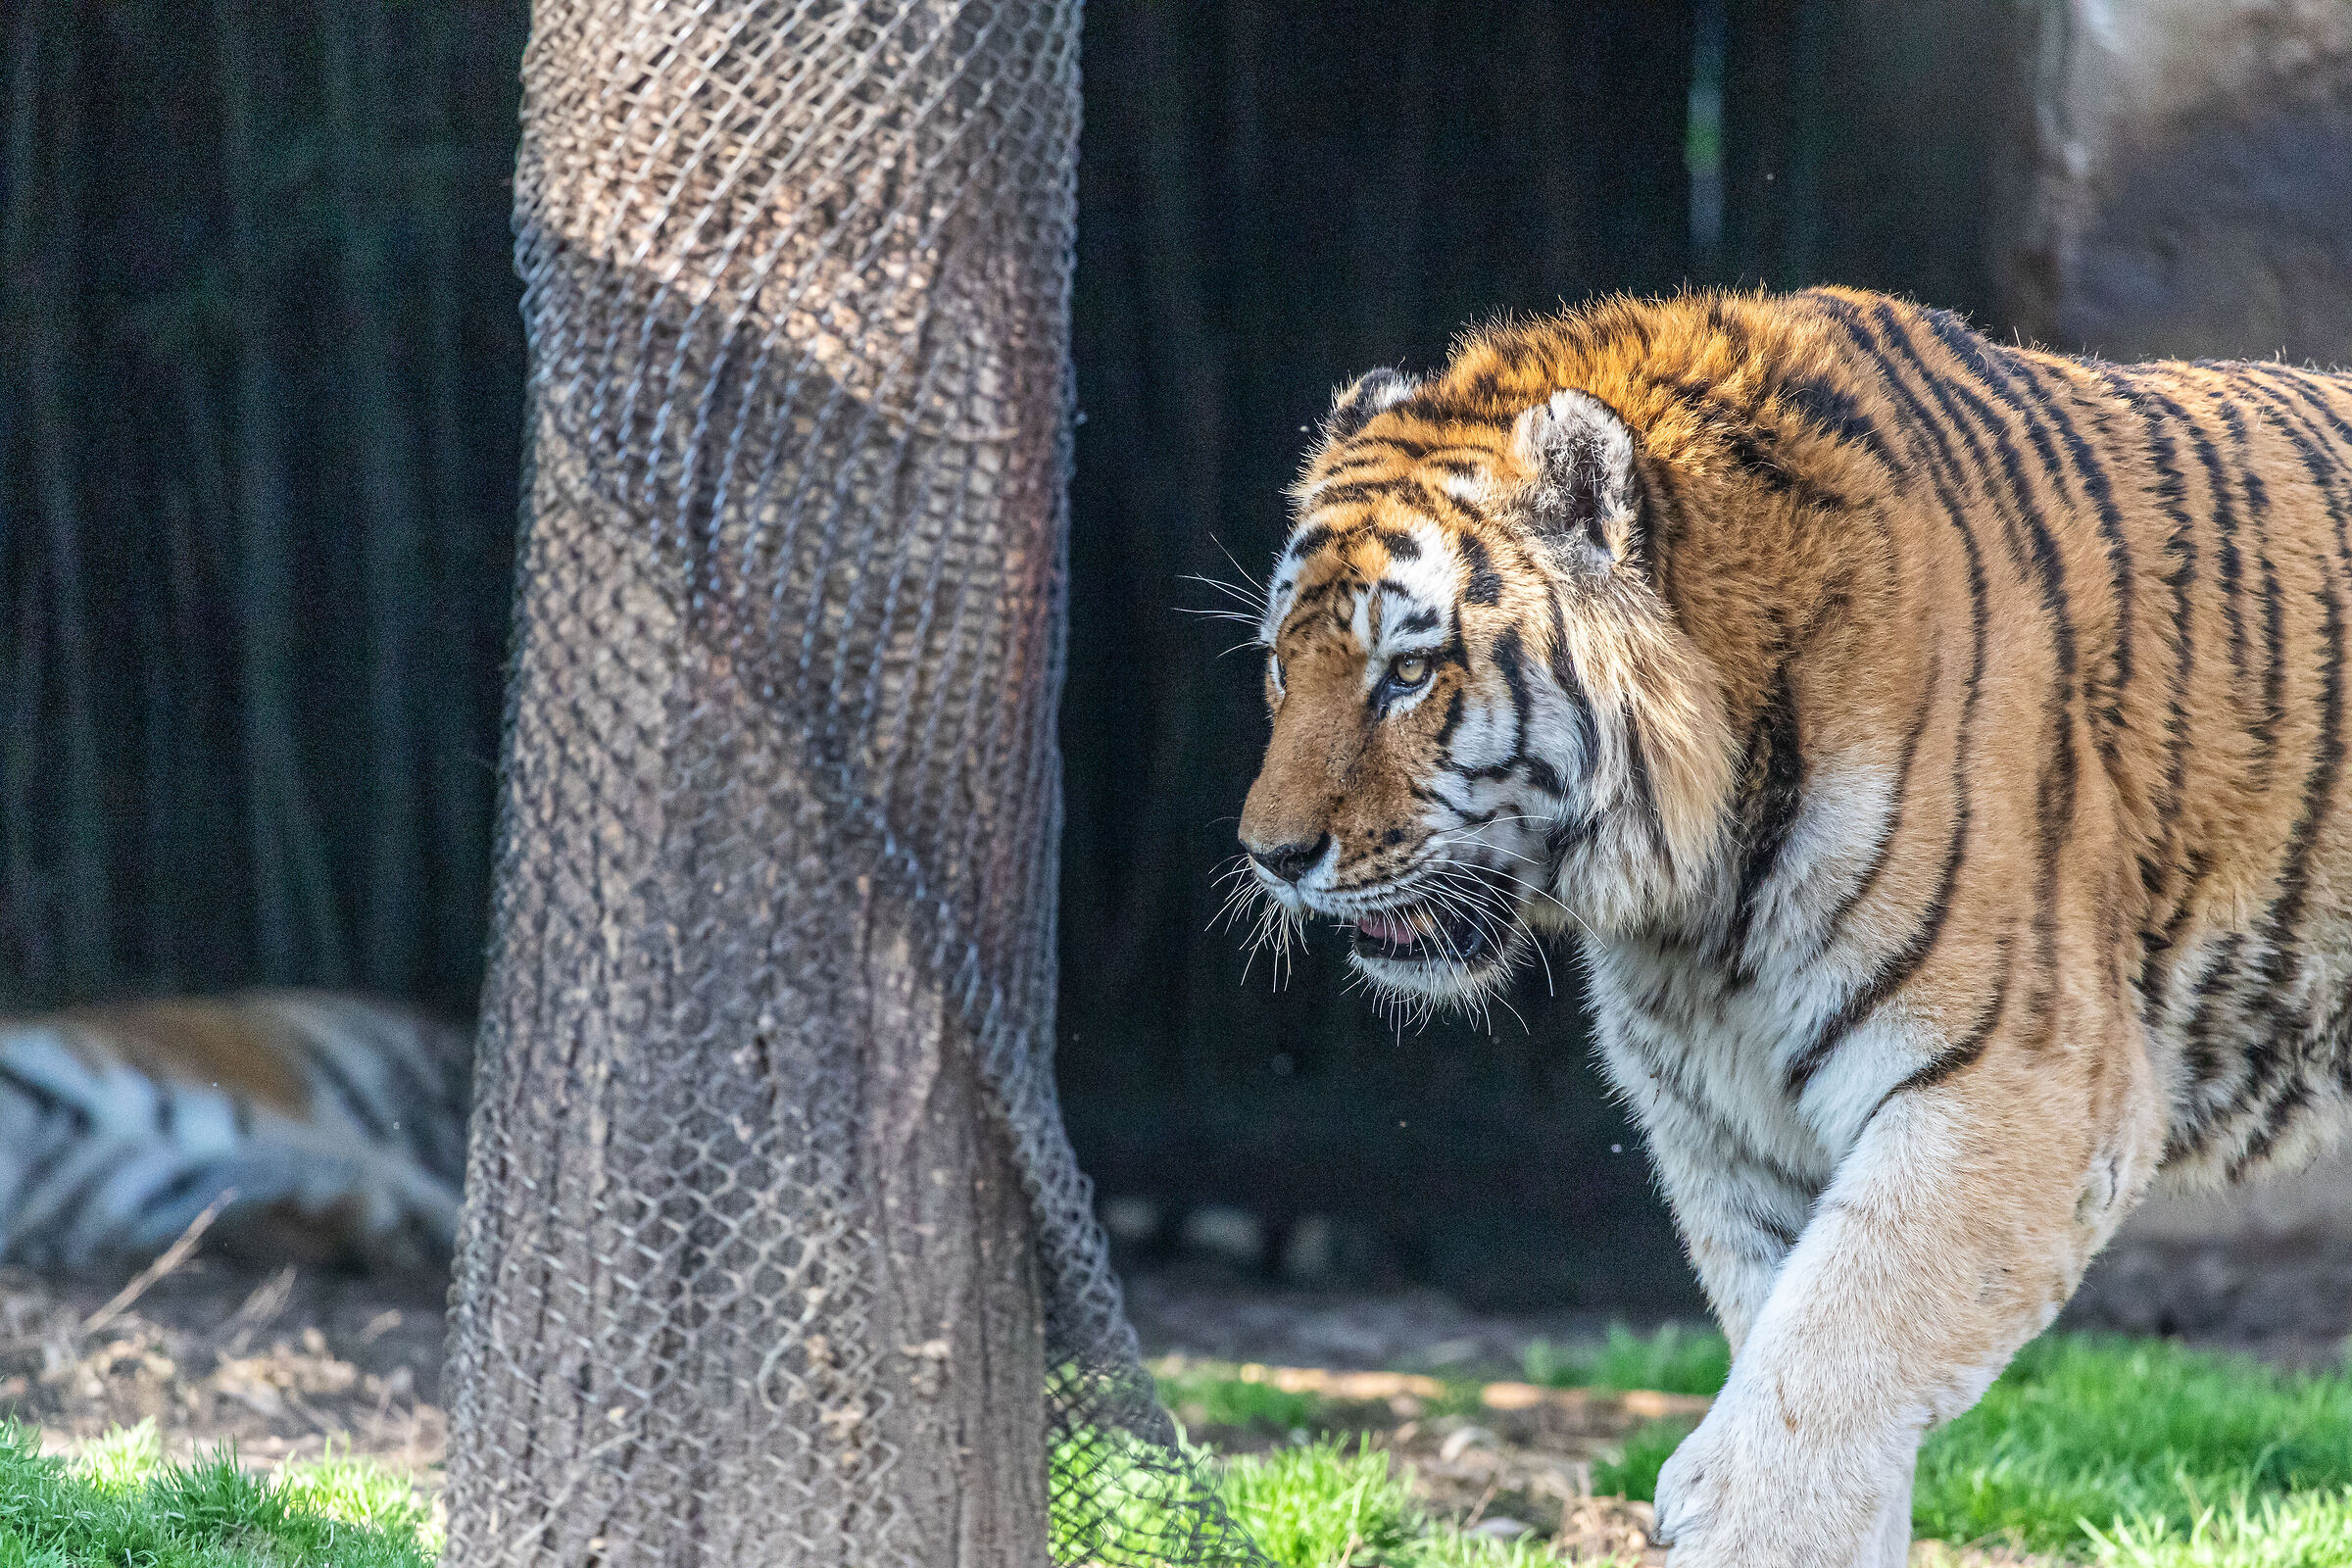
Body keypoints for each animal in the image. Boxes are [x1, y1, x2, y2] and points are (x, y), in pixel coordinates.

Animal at [1233, 286, 2352, 1567]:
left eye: (1409, 673)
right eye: (1282, 667)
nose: (1269, 856)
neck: (1698, 901)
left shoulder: (2023, 1085)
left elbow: (1827, 1363)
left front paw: (1731, 1505)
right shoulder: (1729, 1129)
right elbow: (1799, 1345)